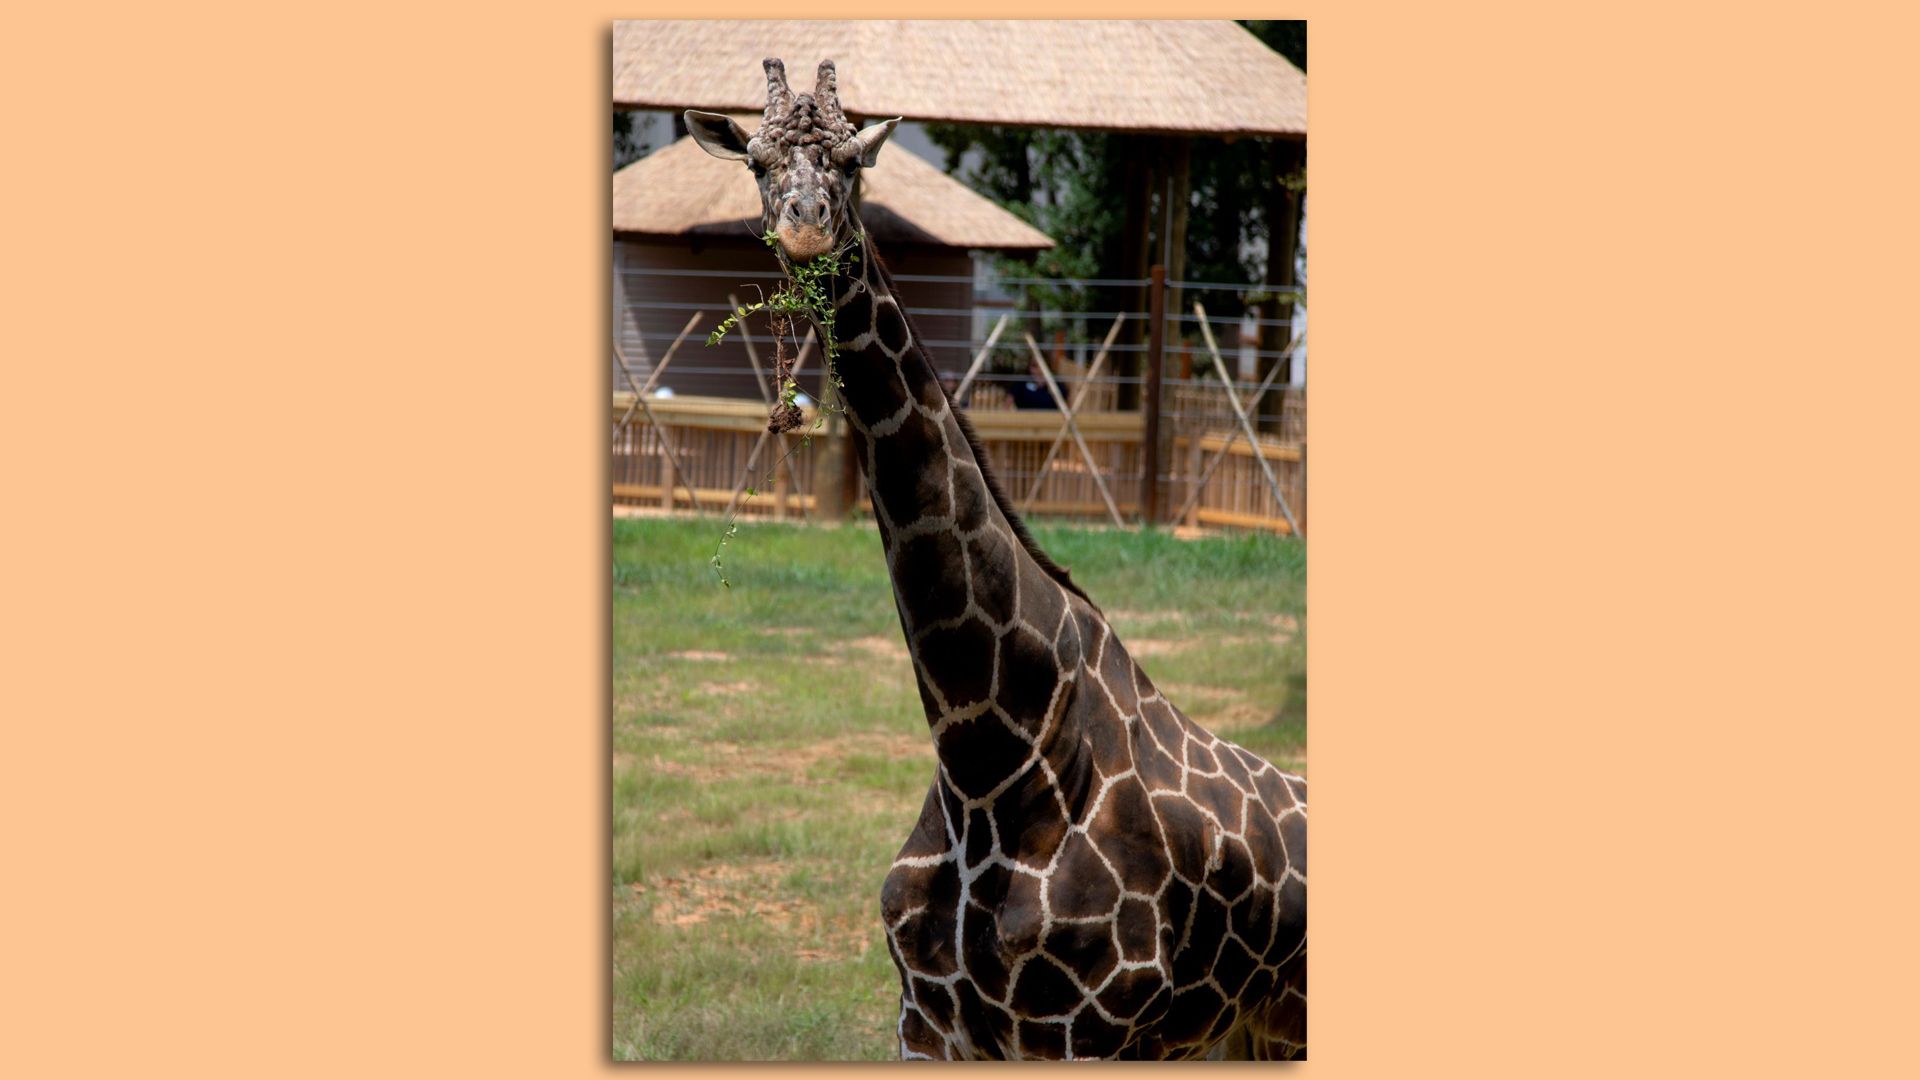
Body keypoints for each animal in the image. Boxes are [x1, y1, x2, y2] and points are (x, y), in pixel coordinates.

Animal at [686, 58, 1306, 1060]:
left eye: (853, 163)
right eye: (756, 161)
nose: (807, 227)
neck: (987, 757)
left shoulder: (1084, 1034)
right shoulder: (926, 1024)